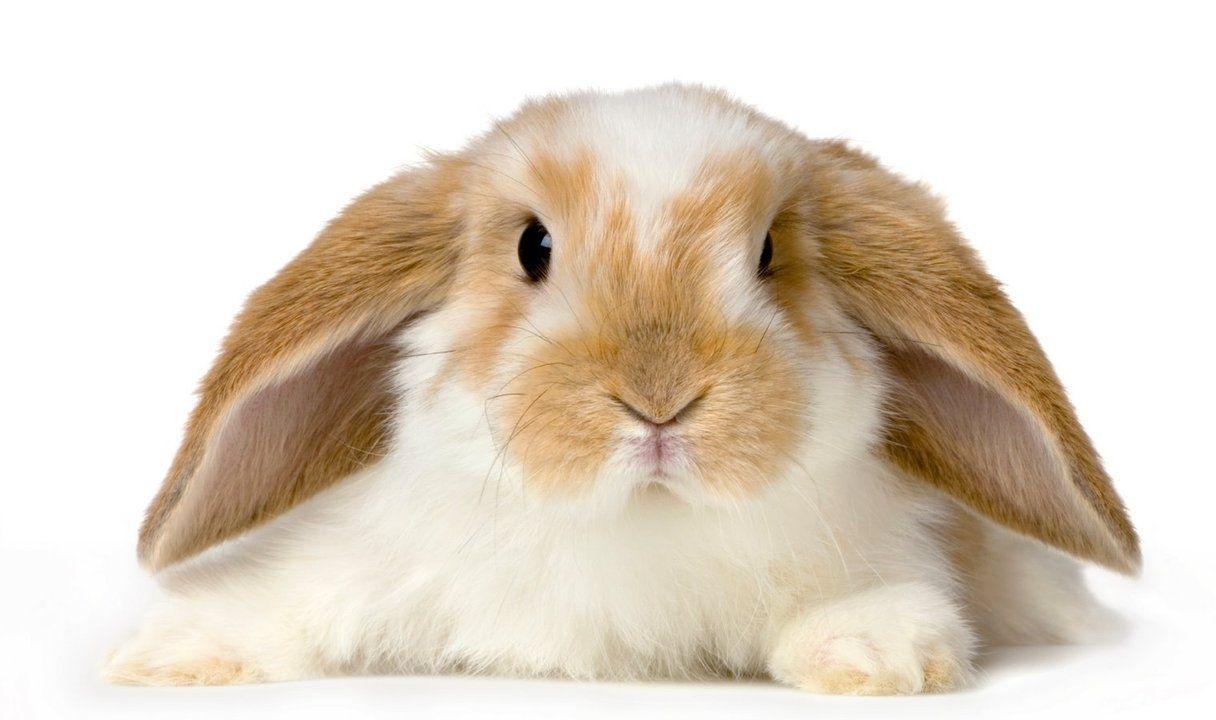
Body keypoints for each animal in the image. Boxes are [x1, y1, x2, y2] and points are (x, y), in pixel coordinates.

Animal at [103, 84, 1138, 694]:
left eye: (770, 253)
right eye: (533, 246)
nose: (658, 400)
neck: (635, 520)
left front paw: (874, 651)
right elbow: (289, 603)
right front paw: (167, 652)